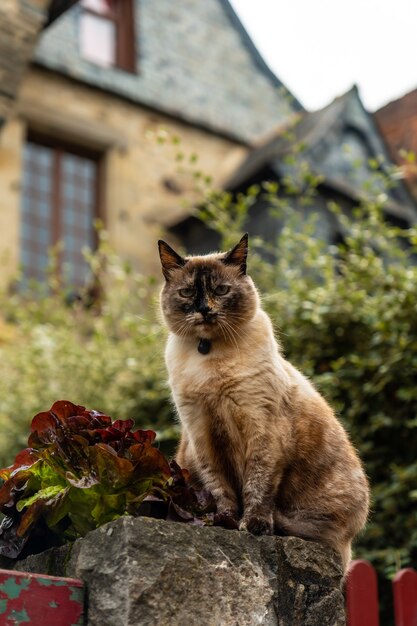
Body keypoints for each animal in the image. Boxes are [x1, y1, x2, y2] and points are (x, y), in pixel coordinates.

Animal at [157, 232, 368, 568]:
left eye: (221, 290)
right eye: (187, 292)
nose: (205, 309)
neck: (209, 353)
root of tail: (347, 546)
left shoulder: (261, 426)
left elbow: (258, 485)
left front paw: (253, 526)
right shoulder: (201, 433)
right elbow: (220, 488)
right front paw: (225, 521)